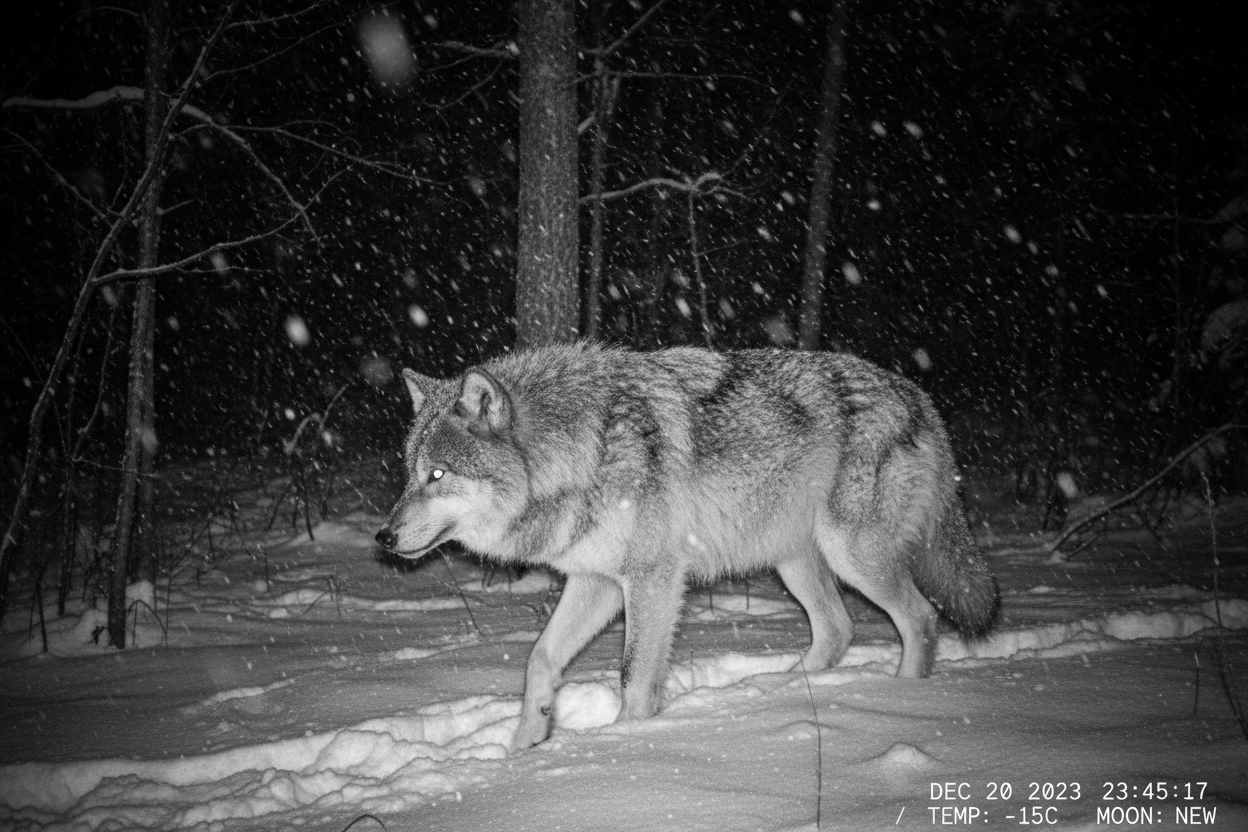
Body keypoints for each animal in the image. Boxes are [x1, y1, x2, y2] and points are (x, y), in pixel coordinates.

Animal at [375, 342, 998, 750]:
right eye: (408, 474)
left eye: (437, 475)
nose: (383, 537)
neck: (583, 451)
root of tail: (921, 399)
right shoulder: (596, 581)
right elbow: (539, 659)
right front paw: (525, 746)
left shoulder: (652, 578)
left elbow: (633, 675)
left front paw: (626, 746)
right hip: (794, 562)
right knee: (837, 629)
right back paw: (782, 690)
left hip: (854, 557)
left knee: (919, 617)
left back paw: (896, 699)